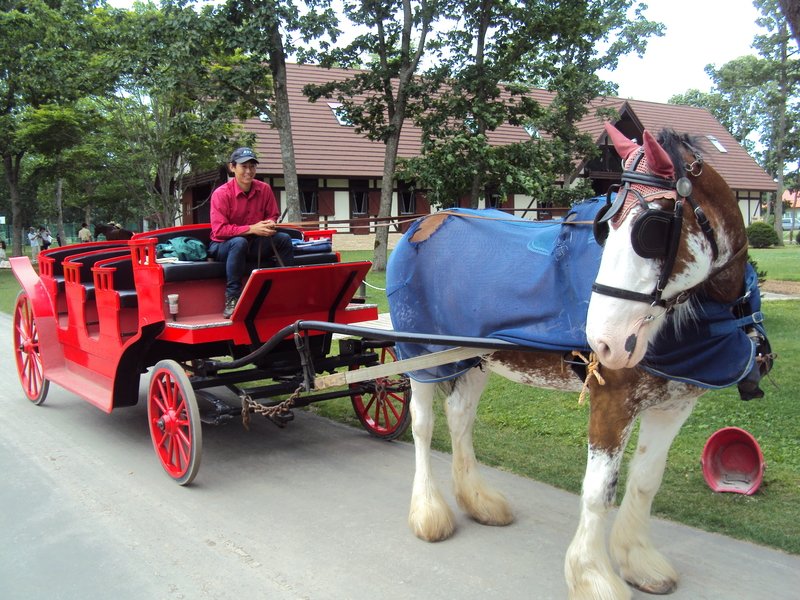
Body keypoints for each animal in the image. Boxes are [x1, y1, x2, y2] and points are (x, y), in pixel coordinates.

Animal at [386, 123, 772, 600]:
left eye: (650, 230)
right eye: (608, 226)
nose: (605, 343)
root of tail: (425, 221)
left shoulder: (676, 404)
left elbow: (646, 481)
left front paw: (638, 560)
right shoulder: (611, 400)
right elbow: (598, 491)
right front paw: (593, 575)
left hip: (473, 355)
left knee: (460, 417)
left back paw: (478, 500)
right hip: (419, 353)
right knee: (423, 425)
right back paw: (429, 512)